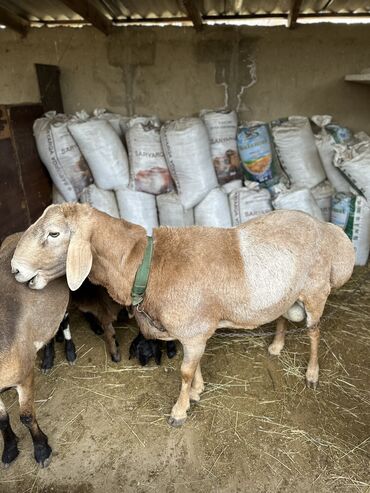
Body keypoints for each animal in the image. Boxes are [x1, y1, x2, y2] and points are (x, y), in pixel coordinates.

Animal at [12, 204, 356, 426]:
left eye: (54, 234)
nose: (14, 269)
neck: (144, 265)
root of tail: (324, 226)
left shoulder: (193, 332)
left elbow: (184, 372)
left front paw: (180, 410)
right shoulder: (194, 333)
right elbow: (194, 365)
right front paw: (198, 392)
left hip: (314, 290)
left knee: (314, 331)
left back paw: (312, 374)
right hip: (285, 294)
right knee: (283, 316)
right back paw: (276, 346)